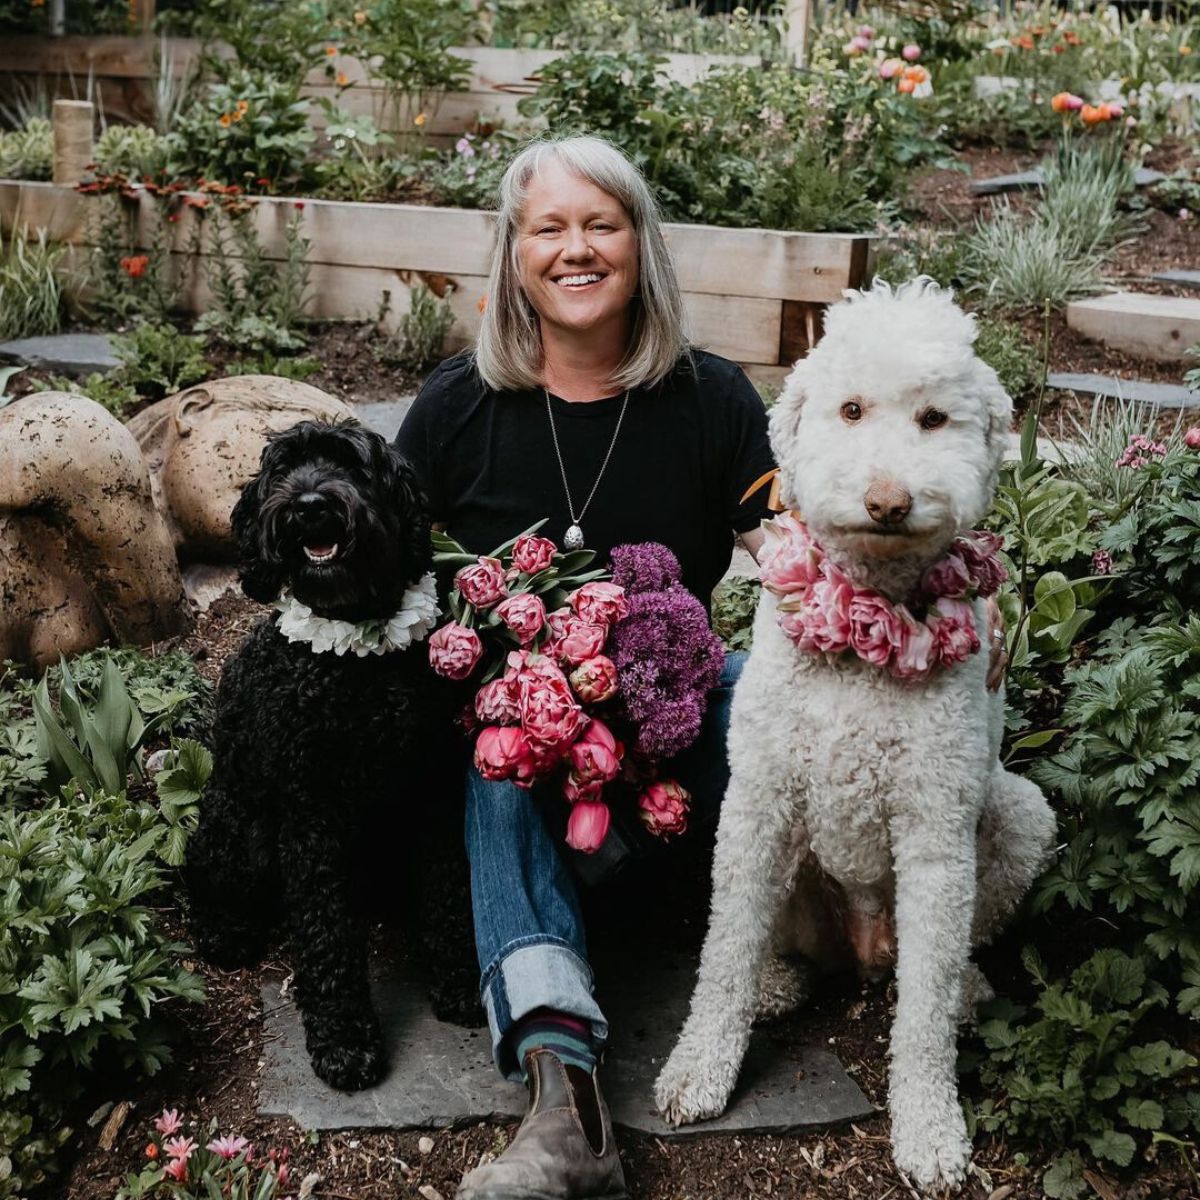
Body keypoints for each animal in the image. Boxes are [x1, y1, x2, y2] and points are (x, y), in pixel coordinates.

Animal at [184, 417, 470, 1094]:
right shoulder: (312, 815)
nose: (310, 505)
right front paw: (344, 1042)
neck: (356, 665)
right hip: (240, 826)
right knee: (208, 877)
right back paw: (224, 929)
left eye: (352, 466)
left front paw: (461, 982)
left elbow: (450, 893)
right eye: (285, 468)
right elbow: (326, 934)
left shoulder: (433, 793)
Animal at [652, 280, 1056, 1190]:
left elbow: (923, 1021)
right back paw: (776, 982)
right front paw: (700, 1067)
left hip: (1017, 818)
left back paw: (964, 990)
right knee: (777, 946)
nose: (888, 501)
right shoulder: (758, 804)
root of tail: (865, 947)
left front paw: (931, 1131)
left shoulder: (937, 834)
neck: (865, 628)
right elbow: (723, 952)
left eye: (935, 419)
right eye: (850, 409)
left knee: (938, 966)